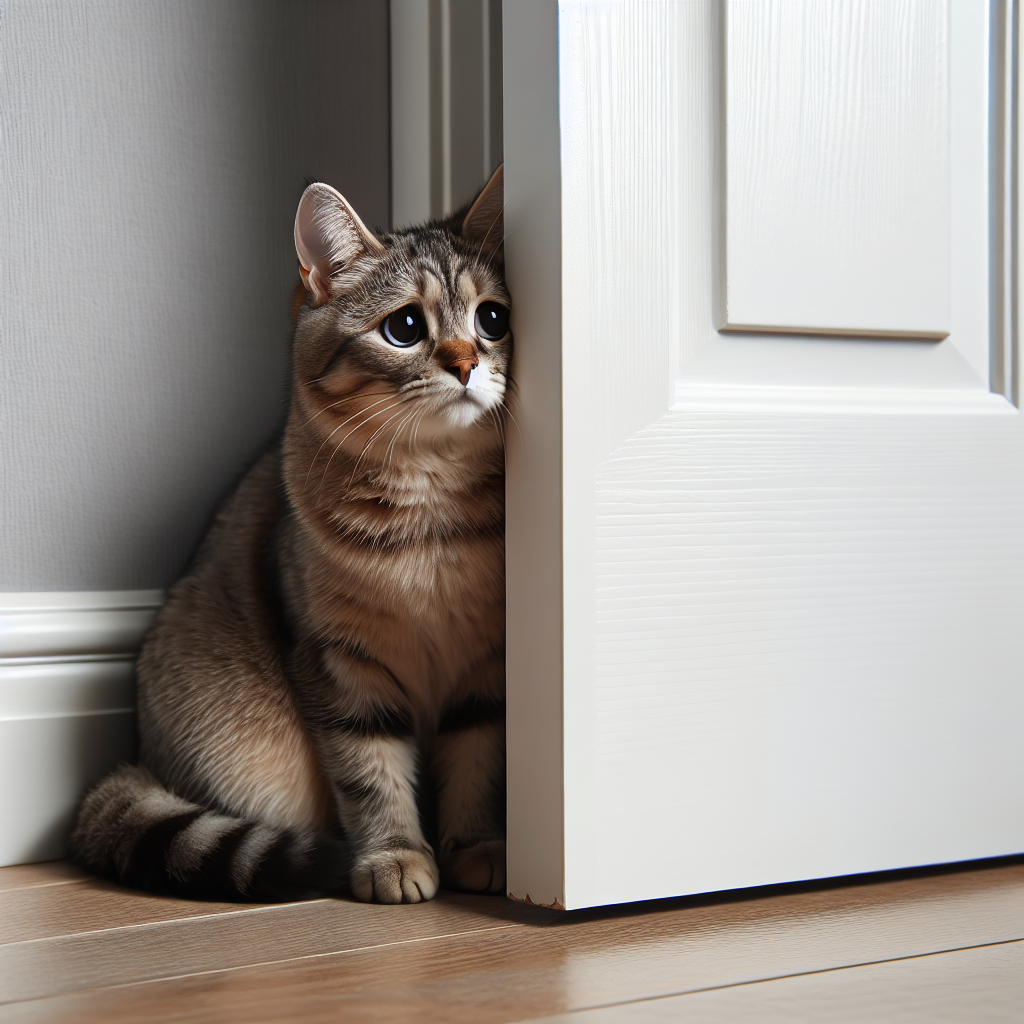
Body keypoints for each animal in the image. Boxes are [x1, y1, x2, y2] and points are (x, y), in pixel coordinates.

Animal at [67, 165, 507, 905]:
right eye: (405, 326)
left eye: (492, 318)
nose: (467, 362)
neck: (431, 513)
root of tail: (142, 762)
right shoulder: (338, 664)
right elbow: (370, 774)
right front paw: (394, 857)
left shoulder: (485, 667)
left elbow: (479, 764)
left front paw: (476, 848)